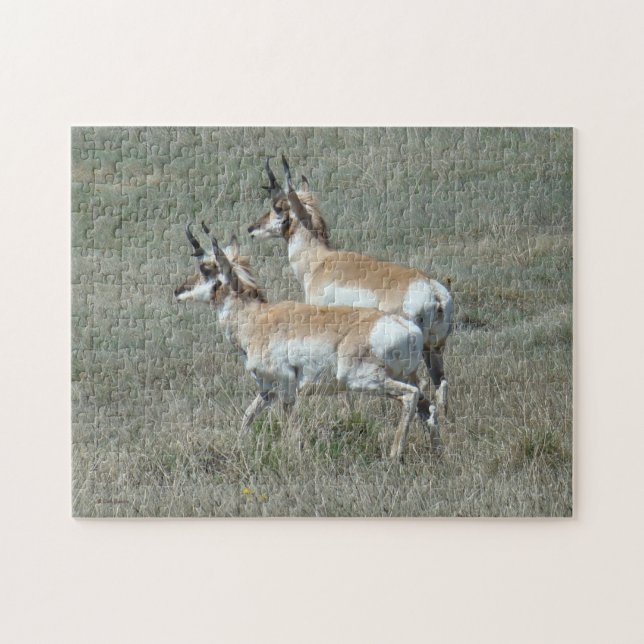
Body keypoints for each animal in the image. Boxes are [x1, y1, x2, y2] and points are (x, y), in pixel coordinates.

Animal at [174, 222, 441, 460]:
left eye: (206, 269)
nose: (178, 290)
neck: (257, 319)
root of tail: (408, 328)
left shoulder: (286, 387)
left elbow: (290, 426)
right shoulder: (268, 390)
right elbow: (247, 415)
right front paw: (240, 446)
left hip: (364, 380)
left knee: (410, 396)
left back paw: (394, 455)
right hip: (402, 377)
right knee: (428, 407)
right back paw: (436, 452)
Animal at [248, 156, 454, 414]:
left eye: (277, 207)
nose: (251, 229)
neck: (321, 261)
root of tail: (434, 292)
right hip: (434, 350)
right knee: (441, 383)